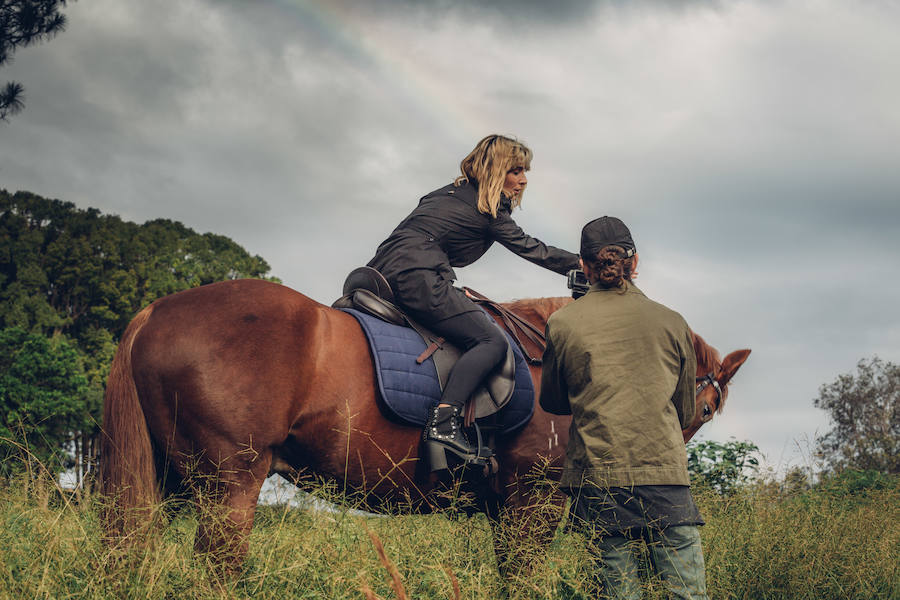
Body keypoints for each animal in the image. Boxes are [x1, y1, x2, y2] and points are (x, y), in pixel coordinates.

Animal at [98, 278, 748, 568]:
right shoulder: (531, 504)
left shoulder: (508, 510)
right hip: (227, 488)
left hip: (173, 484)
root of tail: (156, 310)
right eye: (706, 408)